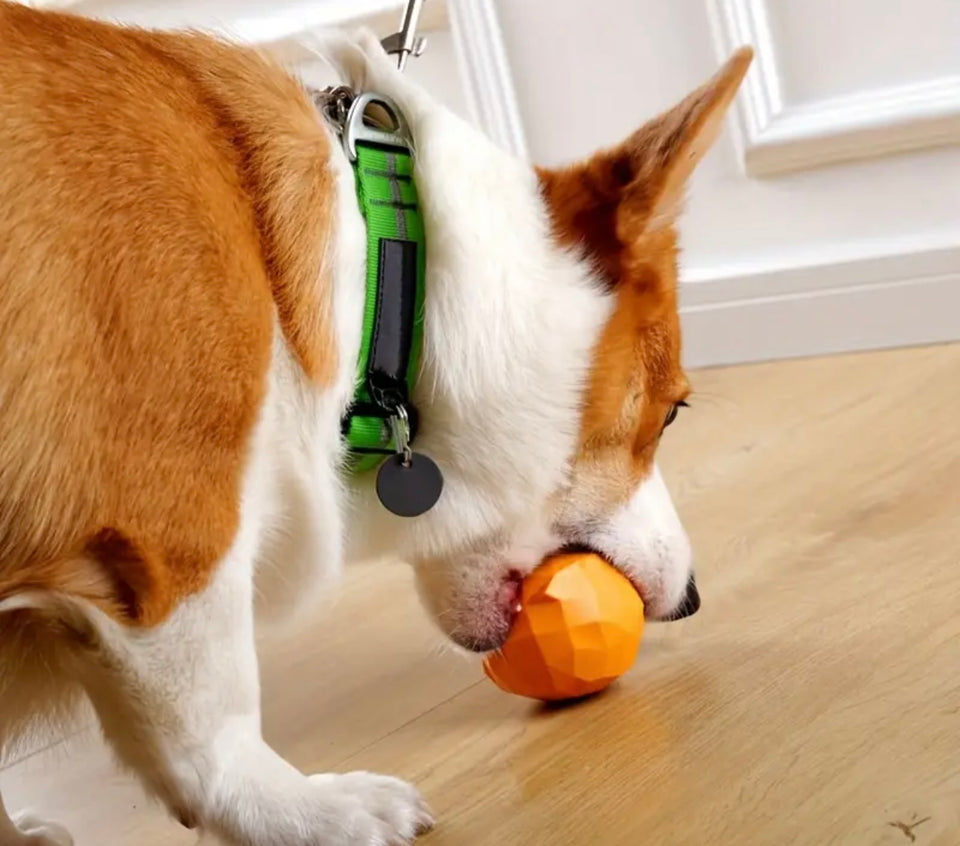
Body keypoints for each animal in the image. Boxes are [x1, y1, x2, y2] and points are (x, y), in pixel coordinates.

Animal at [0, 3, 752, 844]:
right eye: (673, 410)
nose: (693, 599)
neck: (376, 274)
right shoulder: (170, 544)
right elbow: (212, 722)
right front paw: (307, 812)